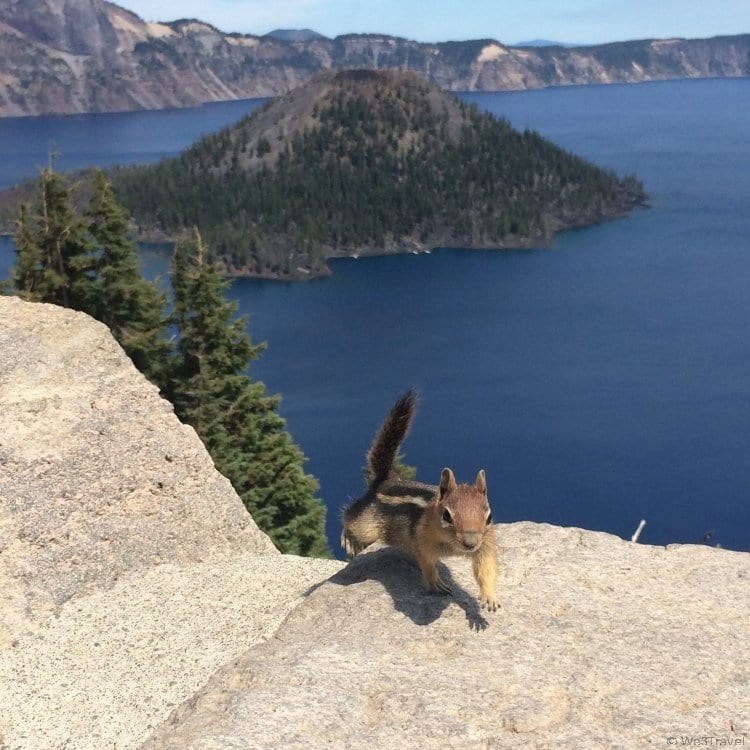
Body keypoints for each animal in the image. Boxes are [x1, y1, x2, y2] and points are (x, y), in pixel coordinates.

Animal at [342, 390, 500, 612]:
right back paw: (349, 539)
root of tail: (389, 480)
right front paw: (435, 582)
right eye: (447, 515)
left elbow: (486, 567)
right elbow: (425, 561)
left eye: (489, 517)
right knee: (350, 517)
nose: (470, 543)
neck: (452, 546)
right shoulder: (421, 539)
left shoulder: (484, 544)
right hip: (367, 524)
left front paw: (489, 597)